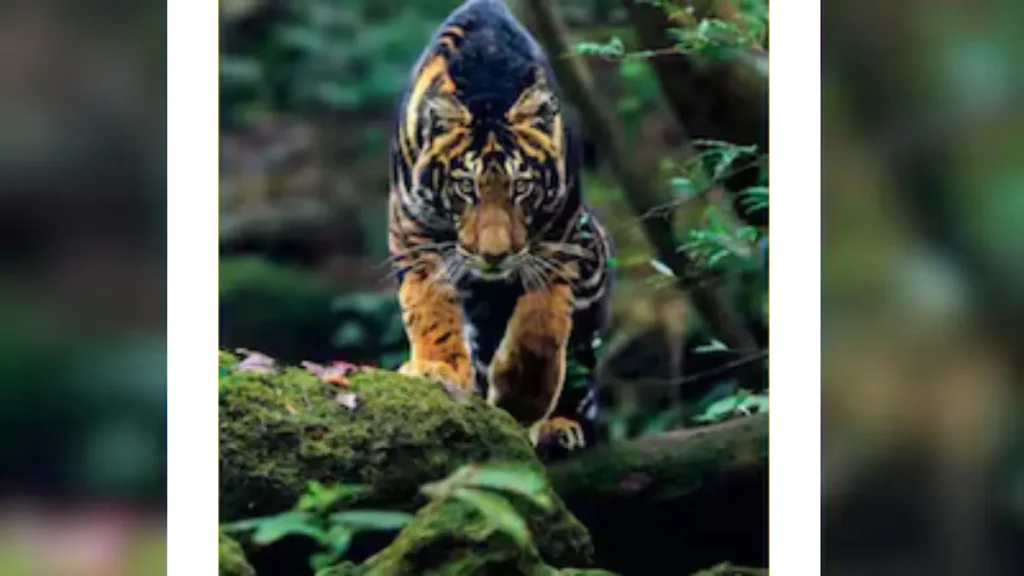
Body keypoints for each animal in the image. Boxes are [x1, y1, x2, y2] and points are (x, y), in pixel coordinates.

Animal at [387, 0, 612, 456]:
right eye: (465, 187)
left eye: (521, 187)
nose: (494, 255)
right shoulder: (412, 230)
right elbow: (429, 307)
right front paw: (436, 369)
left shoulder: (560, 241)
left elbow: (541, 326)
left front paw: (522, 400)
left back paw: (560, 426)